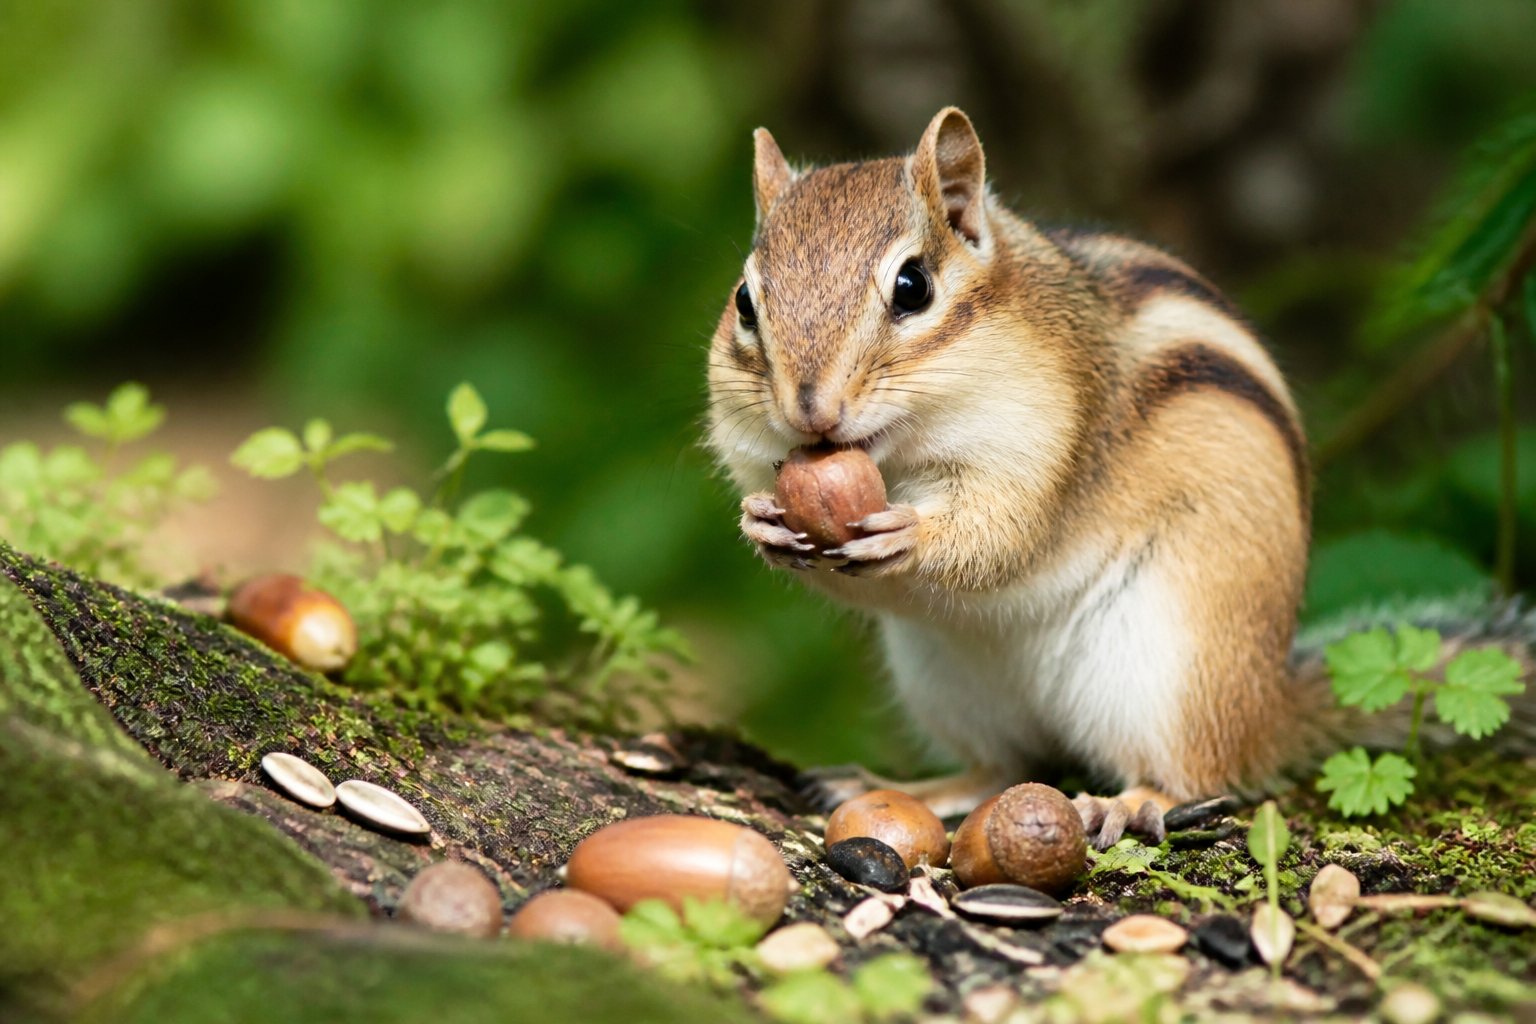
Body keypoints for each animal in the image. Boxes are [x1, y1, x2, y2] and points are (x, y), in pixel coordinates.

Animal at [705, 107, 1534, 846]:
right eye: (745, 300)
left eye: (913, 287)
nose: (811, 410)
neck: (901, 450)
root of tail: (1264, 708)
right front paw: (763, 522)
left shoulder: (1048, 445)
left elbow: (1004, 535)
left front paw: (909, 532)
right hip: (943, 680)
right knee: (1000, 765)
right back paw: (900, 784)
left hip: (1171, 666)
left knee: (1196, 774)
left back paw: (1127, 802)